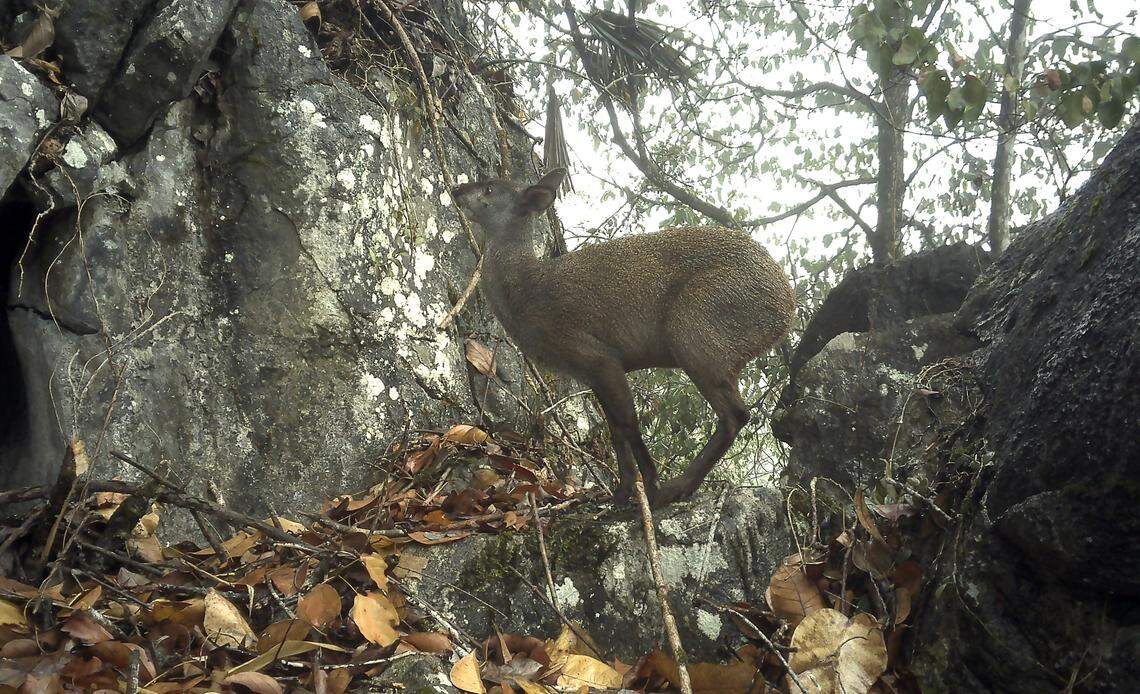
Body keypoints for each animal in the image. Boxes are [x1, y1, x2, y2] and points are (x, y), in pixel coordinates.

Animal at [451, 169, 795, 507]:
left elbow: (629, 424)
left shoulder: (598, 355)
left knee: (735, 414)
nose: (456, 189)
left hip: (695, 332)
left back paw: (677, 487)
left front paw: (650, 486)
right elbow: (615, 429)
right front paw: (620, 493)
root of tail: (786, 308)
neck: (525, 289)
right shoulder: (591, 373)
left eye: (490, 187)